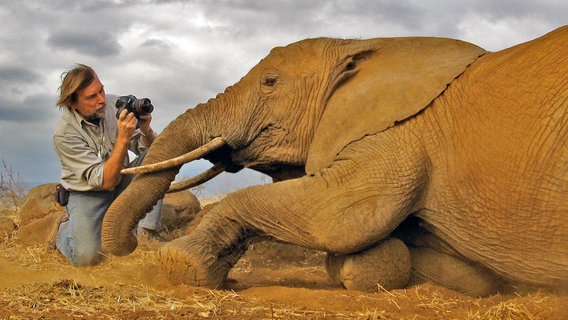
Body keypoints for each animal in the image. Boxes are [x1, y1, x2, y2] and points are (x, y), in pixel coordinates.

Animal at [102, 25, 568, 298]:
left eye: (270, 82)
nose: (132, 246)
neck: (366, 44)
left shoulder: (399, 134)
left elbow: (341, 216)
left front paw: (182, 264)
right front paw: (372, 266)